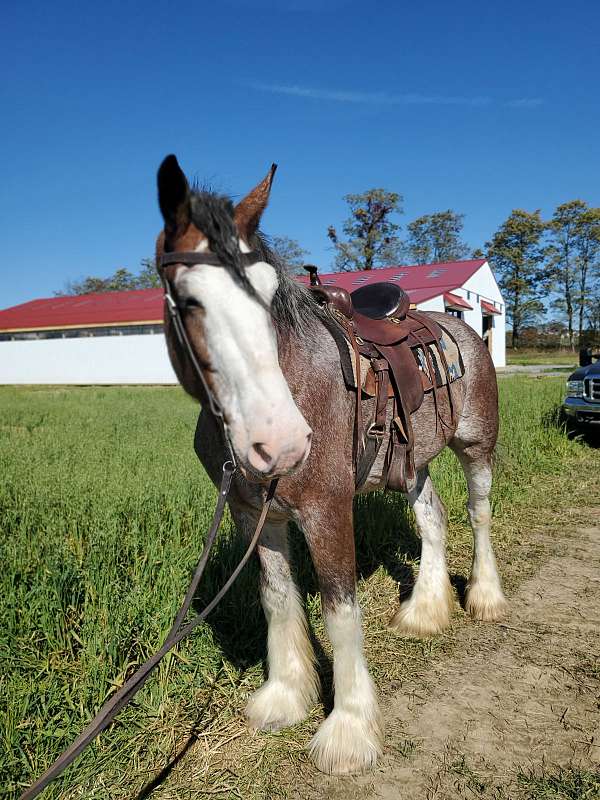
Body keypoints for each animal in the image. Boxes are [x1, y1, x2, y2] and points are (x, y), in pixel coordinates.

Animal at [155, 155, 506, 776]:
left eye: (269, 293)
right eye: (189, 299)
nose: (282, 440)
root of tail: (462, 326)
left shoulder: (326, 509)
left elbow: (340, 610)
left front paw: (348, 730)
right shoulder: (255, 515)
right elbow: (276, 597)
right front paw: (284, 697)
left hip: (475, 446)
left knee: (478, 513)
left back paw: (485, 598)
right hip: (411, 463)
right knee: (434, 518)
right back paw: (425, 611)